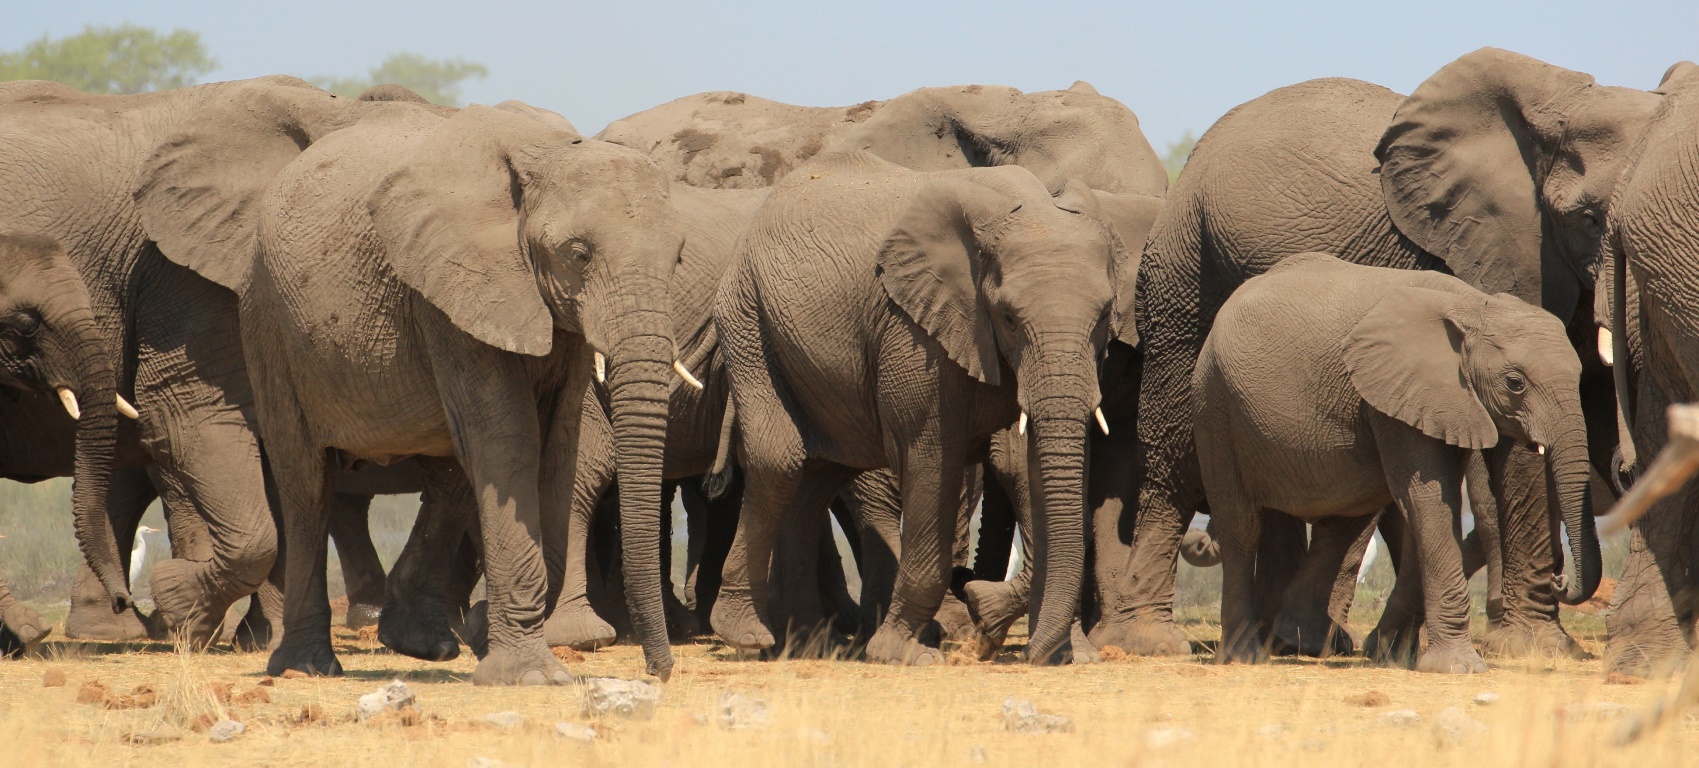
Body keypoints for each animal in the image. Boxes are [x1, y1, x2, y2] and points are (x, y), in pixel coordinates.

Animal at [134, 96, 682, 683]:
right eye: (579, 254)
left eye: (677, 258)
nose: (659, 671)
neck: (545, 153)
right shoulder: (449, 290)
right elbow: (508, 438)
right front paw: (528, 675)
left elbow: (559, 443)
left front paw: (490, 638)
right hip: (268, 317)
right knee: (306, 480)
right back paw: (304, 666)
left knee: (451, 474)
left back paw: (420, 644)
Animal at [710, 151, 1134, 666]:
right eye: (1009, 318)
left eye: (1105, 315)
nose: (1026, 655)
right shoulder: (913, 330)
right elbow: (932, 457)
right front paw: (902, 654)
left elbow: (1030, 466)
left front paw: (1070, 656)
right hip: (747, 315)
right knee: (780, 460)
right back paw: (748, 636)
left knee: (817, 475)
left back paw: (809, 643)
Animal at [1189, 253, 1597, 672]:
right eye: (1515, 383)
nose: (1560, 581)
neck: (1473, 307)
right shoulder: (1396, 395)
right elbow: (1428, 500)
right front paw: (1457, 667)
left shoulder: (1447, 402)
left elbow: (1429, 505)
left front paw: (1390, 655)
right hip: (1215, 402)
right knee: (1242, 525)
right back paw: (1245, 654)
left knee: (1344, 518)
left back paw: (1298, 639)